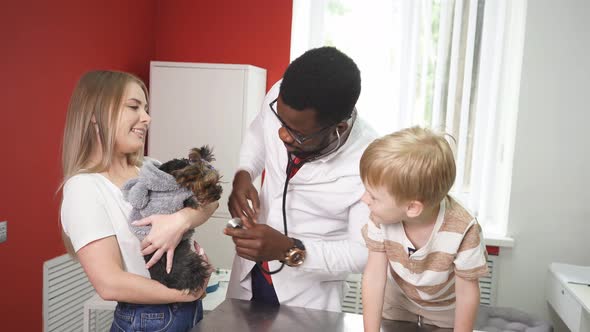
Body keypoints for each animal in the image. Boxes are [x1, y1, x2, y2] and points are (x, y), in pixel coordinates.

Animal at [121, 145, 223, 294]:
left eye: (218, 181)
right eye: (207, 185)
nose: (218, 195)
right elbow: (187, 201)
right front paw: (194, 201)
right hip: (193, 263)